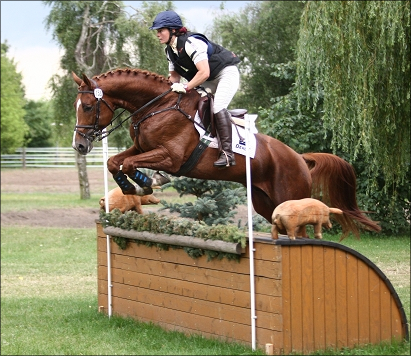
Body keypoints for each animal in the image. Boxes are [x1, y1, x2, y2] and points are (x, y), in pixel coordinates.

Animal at [72, 68, 382, 238]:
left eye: (87, 107)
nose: (80, 146)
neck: (156, 106)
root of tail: (300, 159)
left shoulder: (171, 157)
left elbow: (129, 165)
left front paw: (148, 182)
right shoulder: (142, 148)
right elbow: (115, 162)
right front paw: (131, 188)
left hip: (289, 198)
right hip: (265, 203)